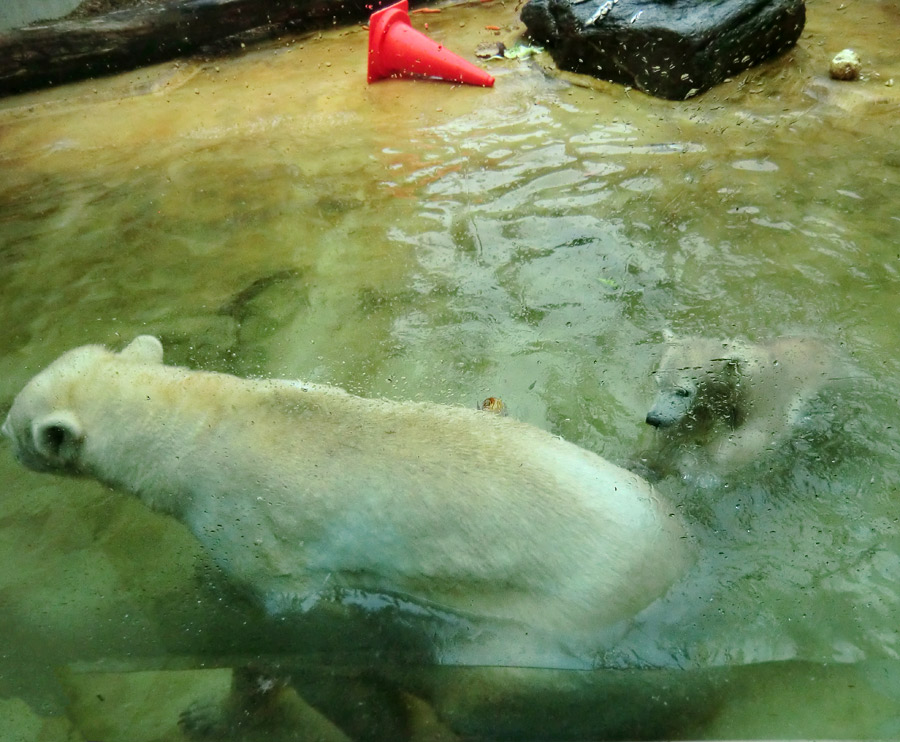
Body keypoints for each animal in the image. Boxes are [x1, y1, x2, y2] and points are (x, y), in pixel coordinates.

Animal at [3, 338, 692, 664]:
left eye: (13, 425)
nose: (1, 438)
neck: (195, 422)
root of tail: (678, 548)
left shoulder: (237, 521)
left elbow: (277, 597)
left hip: (568, 599)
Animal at [644, 332, 832, 476]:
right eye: (658, 382)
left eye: (683, 391)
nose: (653, 418)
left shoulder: (767, 399)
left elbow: (752, 438)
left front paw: (693, 460)